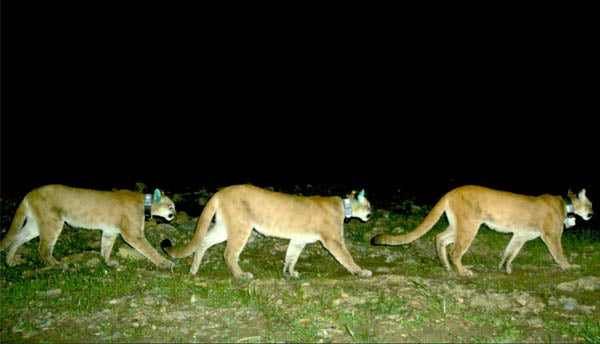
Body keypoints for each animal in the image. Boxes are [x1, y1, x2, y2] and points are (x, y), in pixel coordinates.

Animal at [0, 185, 177, 268]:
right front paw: (164, 263)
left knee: (16, 238)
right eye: (170, 206)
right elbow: (149, 249)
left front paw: (107, 262)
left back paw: (10, 261)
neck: (145, 203)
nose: (174, 213)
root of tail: (30, 192)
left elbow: (105, 247)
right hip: (52, 222)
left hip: (35, 226)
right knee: (42, 248)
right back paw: (58, 265)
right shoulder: (132, 234)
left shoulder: (110, 231)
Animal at [162, 183, 372, 280]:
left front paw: (289, 273)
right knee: (228, 253)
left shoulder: (299, 239)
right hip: (241, 227)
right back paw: (241, 276)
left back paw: (194, 269)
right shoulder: (333, 239)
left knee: (204, 241)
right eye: (369, 205)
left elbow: (291, 256)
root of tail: (221, 191)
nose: (371, 214)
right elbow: (346, 257)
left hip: (224, 228)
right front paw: (360, 271)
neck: (344, 205)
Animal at [372, 185, 592, 276]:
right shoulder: (551, 235)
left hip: (458, 225)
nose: (592, 213)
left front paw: (505, 267)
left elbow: (510, 251)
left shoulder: (520, 235)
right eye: (590, 203)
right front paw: (569, 266)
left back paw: (445, 265)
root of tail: (451, 191)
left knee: (439, 237)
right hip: (470, 226)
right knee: (455, 250)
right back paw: (462, 271)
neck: (566, 203)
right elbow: (559, 253)